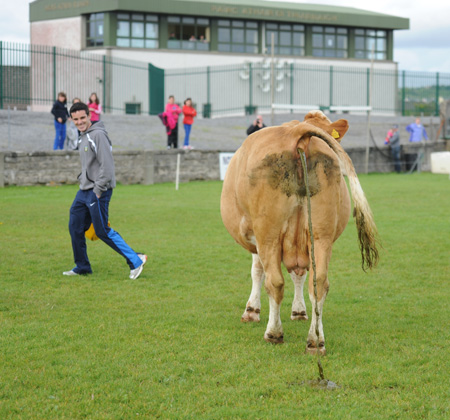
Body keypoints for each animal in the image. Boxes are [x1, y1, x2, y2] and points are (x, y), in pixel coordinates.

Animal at [220, 110, 378, 354]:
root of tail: (298, 131)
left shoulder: (258, 239)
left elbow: (258, 271)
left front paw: (251, 311)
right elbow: (299, 274)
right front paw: (299, 311)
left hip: (269, 234)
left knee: (275, 282)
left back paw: (274, 333)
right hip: (321, 235)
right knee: (319, 282)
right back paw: (315, 340)